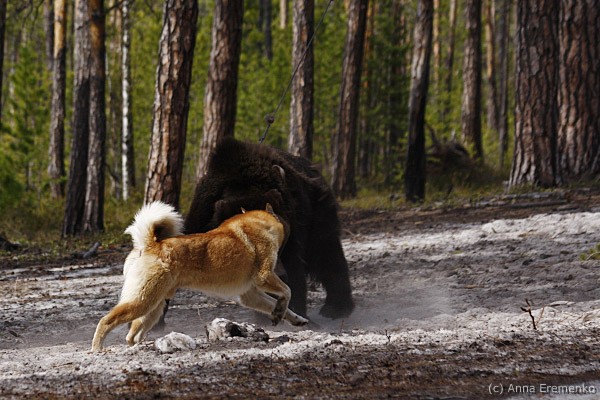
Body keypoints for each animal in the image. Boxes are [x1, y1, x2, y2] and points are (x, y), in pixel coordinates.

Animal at [91, 201, 308, 351]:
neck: (261, 225)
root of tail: (149, 244)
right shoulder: (264, 277)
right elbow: (287, 292)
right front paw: (280, 312)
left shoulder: (250, 295)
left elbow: (281, 306)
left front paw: (292, 318)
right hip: (142, 302)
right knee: (106, 321)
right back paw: (97, 348)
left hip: (153, 308)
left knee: (132, 335)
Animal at [184, 137, 355, 319]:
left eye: (277, 239)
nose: (280, 274)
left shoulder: (291, 228)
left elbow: (293, 267)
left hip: (317, 214)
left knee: (327, 252)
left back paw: (336, 308)